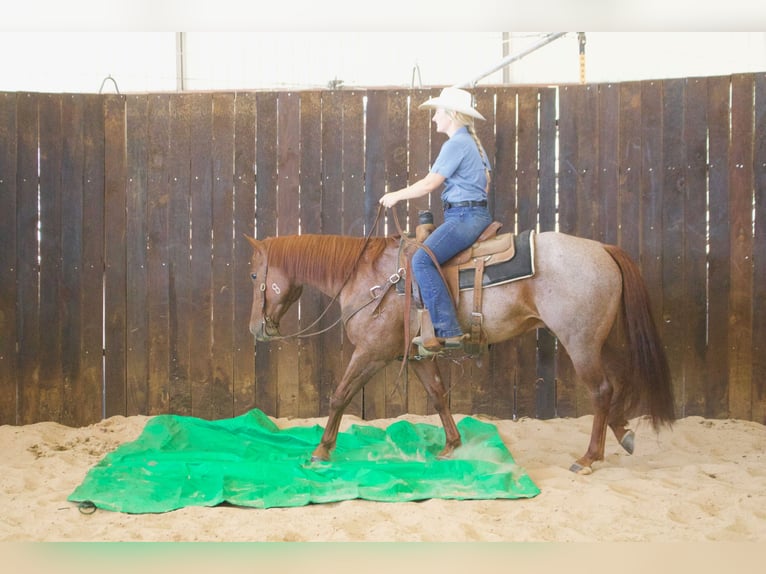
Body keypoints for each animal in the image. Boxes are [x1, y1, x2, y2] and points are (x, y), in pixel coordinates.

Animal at [248, 227, 680, 474]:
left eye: (254, 274)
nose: (256, 328)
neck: (371, 277)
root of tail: (602, 249)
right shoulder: (416, 356)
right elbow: (439, 396)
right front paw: (451, 446)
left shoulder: (371, 353)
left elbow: (339, 396)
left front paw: (320, 451)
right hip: (598, 341)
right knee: (619, 383)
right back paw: (623, 434)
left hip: (580, 343)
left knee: (602, 390)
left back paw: (588, 458)